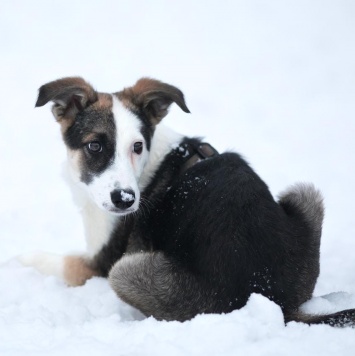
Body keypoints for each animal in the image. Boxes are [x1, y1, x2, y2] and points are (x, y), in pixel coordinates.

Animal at [21, 76, 354, 326]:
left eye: (137, 146)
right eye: (94, 146)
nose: (126, 200)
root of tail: (274, 301)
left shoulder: (101, 262)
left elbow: (51, 260)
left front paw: (19, 261)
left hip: (127, 272)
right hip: (307, 195)